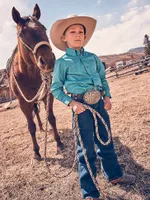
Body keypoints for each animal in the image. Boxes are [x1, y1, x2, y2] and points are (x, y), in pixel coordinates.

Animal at [9, 3, 63, 160]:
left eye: (44, 28)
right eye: (22, 34)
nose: (48, 61)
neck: (29, 75)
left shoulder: (47, 95)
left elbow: (51, 118)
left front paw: (59, 143)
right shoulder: (23, 103)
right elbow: (30, 126)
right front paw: (36, 151)